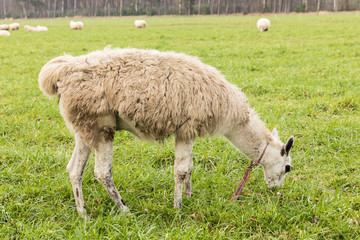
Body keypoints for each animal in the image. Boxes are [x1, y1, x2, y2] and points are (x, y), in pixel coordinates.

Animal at [38, 48, 294, 218]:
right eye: (288, 167)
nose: (276, 190)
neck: (230, 113)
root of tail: (65, 69)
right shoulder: (187, 128)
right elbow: (181, 171)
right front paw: (178, 207)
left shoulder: (188, 132)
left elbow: (189, 167)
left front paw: (189, 197)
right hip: (100, 126)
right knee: (102, 172)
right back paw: (124, 209)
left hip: (84, 127)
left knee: (74, 169)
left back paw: (83, 214)